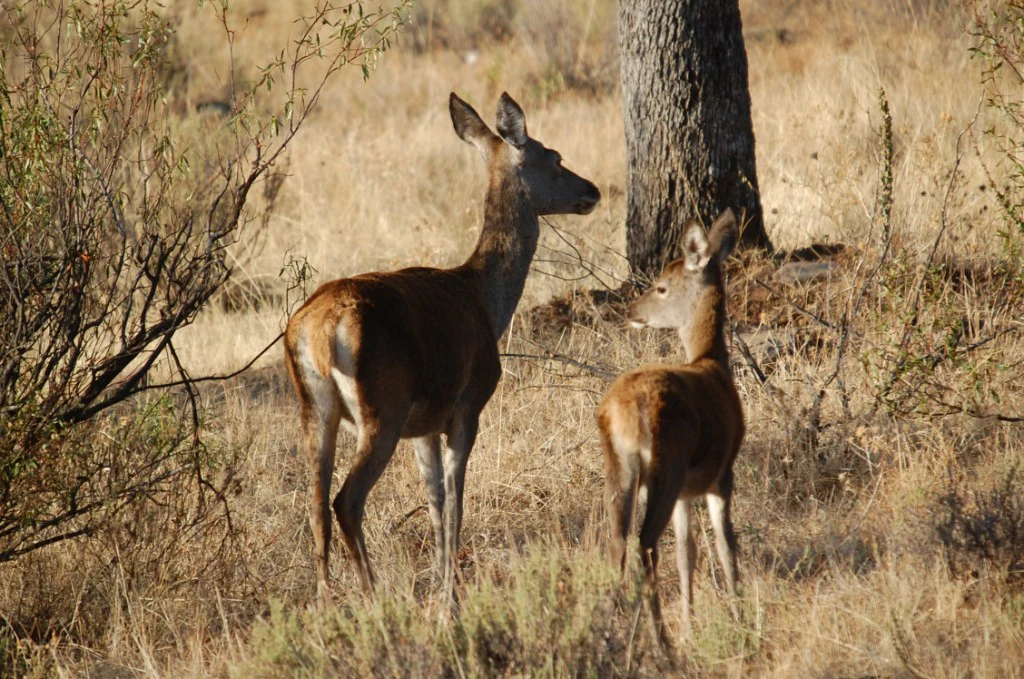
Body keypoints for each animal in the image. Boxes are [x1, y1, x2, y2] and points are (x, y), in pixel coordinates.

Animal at [284, 92, 601, 602]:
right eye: (555, 158)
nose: (592, 191)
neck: (485, 299)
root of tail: (319, 330)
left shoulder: (425, 426)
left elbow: (433, 500)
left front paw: (441, 581)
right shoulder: (466, 407)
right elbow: (455, 501)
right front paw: (450, 595)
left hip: (315, 408)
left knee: (314, 504)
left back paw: (326, 602)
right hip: (383, 406)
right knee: (345, 500)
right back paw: (373, 597)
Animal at [596, 209, 743, 647]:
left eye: (661, 287)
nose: (631, 310)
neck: (711, 363)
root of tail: (621, 411)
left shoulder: (686, 493)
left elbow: (687, 552)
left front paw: (692, 625)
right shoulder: (721, 473)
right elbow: (725, 545)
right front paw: (741, 616)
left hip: (619, 466)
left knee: (617, 540)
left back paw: (612, 633)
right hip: (667, 462)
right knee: (645, 542)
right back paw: (659, 641)